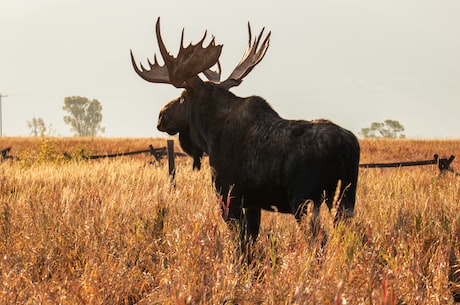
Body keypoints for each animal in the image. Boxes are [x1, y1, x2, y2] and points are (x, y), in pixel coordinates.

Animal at [129, 17, 360, 246]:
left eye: (184, 97)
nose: (161, 116)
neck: (208, 133)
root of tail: (348, 146)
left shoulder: (227, 195)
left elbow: (240, 242)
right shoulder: (252, 203)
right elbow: (252, 239)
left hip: (306, 200)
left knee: (318, 238)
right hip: (345, 198)